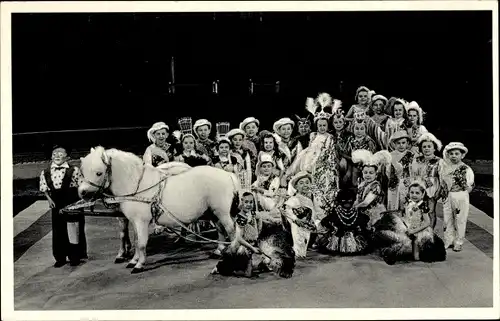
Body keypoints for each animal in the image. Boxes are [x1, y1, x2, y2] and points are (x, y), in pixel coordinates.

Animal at [80, 146, 258, 272]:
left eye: (98, 172)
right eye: (82, 171)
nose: (82, 192)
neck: (136, 186)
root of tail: (228, 175)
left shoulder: (141, 221)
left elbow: (142, 243)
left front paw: (139, 265)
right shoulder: (134, 221)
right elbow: (136, 241)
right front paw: (132, 260)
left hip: (222, 212)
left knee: (232, 231)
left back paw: (232, 251)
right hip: (213, 212)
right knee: (221, 230)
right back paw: (218, 250)